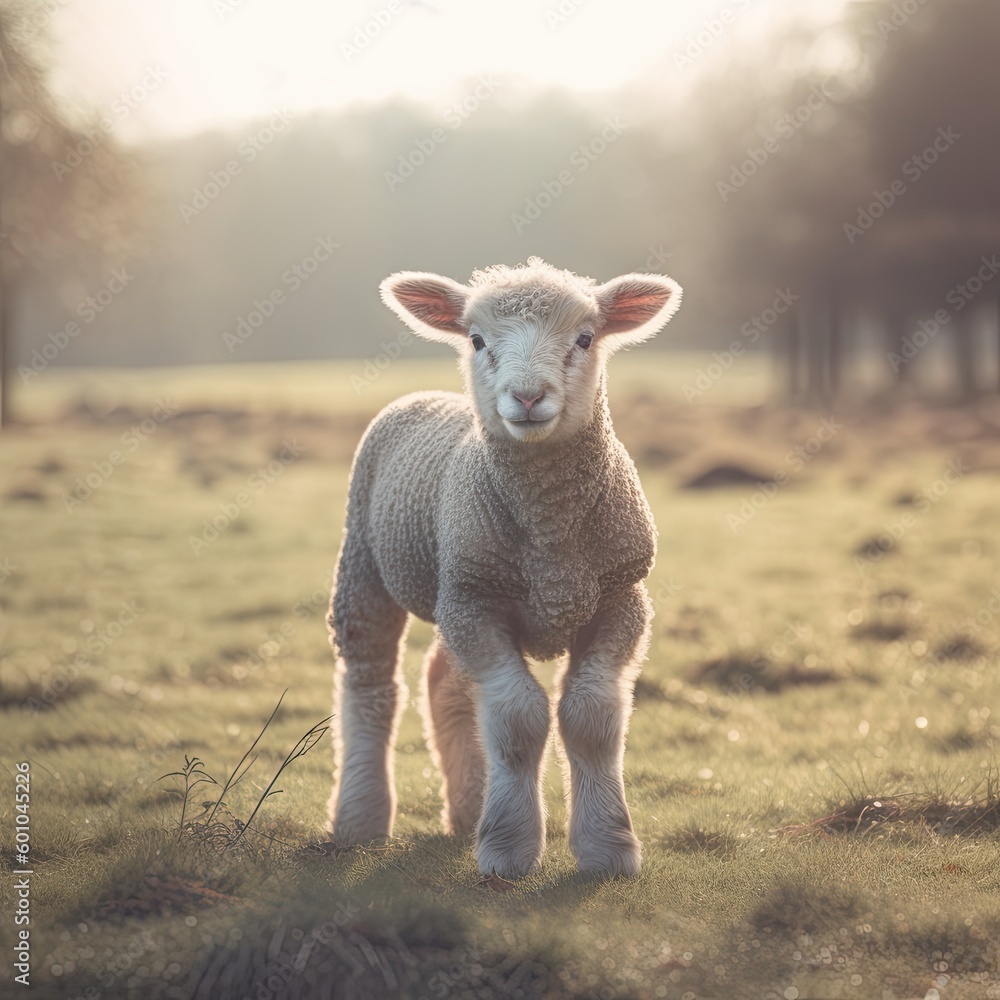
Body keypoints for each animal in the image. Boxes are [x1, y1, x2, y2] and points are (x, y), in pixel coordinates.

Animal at [327, 257, 682, 877]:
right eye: (476, 340)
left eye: (585, 338)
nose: (528, 395)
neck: (551, 540)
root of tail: (424, 396)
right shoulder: (478, 601)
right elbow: (518, 718)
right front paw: (508, 850)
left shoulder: (621, 597)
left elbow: (591, 717)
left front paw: (608, 848)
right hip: (373, 564)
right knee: (371, 681)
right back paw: (360, 820)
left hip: (454, 587)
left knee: (445, 682)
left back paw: (467, 810)